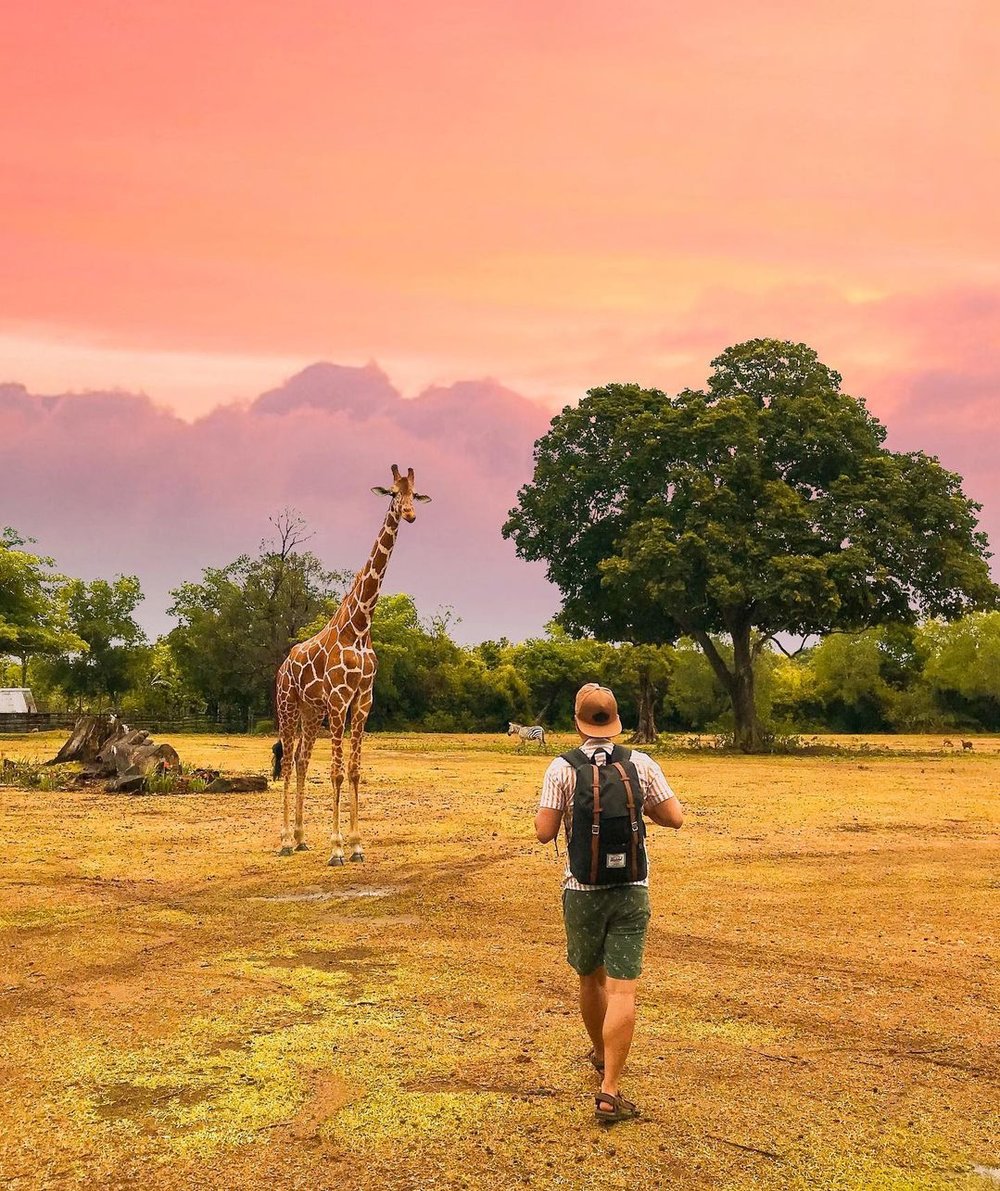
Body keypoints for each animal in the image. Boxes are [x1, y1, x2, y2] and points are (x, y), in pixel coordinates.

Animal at [274, 464, 430, 864]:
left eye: (415, 493)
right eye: (392, 493)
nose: (411, 514)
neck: (360, 625)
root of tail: (283, 665)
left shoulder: (362, 700)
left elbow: (356, 771)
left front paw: (357, 845)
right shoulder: (339, 699)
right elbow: (337, 773)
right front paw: (336, 848)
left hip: (310, 711)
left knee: (301, 761)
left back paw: (301, 838)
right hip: (287, 704)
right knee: (287, 762)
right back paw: (284, 840)